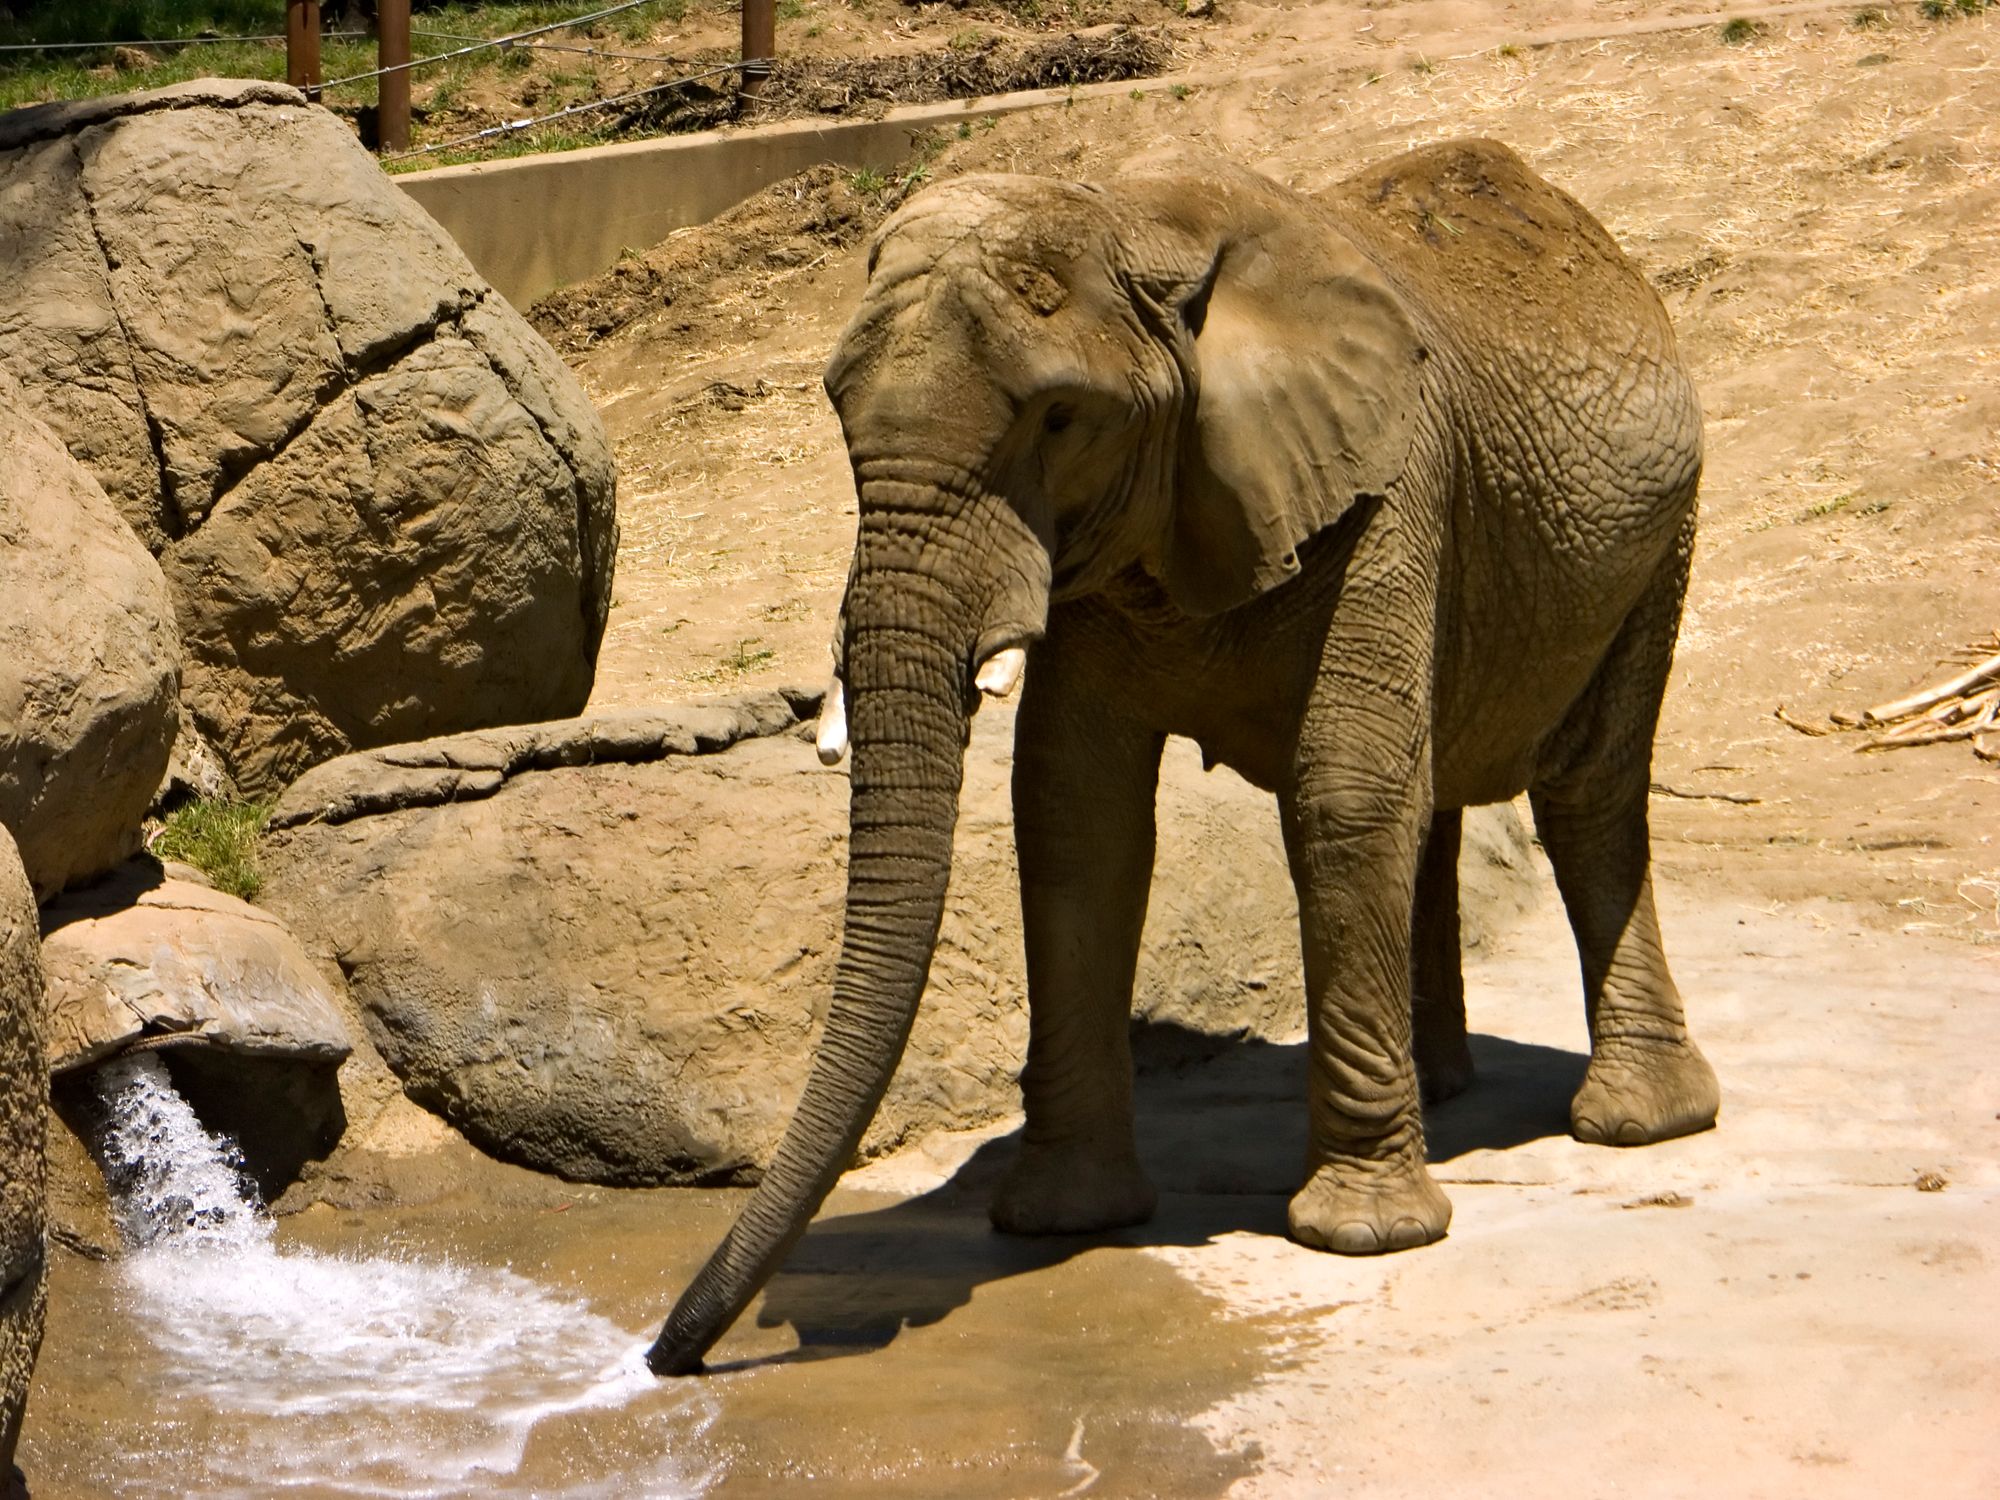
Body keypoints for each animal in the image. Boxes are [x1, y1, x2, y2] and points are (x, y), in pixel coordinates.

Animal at [648, 137, 1719, 1375]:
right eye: (833, 406)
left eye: (1058, 419)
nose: (669, 1357)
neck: (1134, 223)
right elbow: (1074, 810)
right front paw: (1062, 1219)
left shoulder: (1390, 486)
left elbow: (1343, 800)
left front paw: (1362, 1237)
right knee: (1441, 797)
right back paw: (1443, 1087)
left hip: (1658, 537)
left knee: (1585, 791)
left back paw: (1638, 1122)